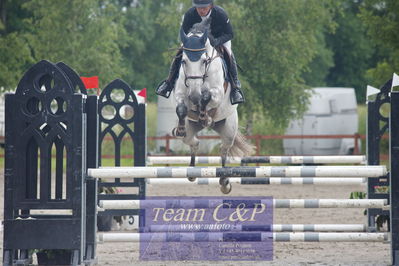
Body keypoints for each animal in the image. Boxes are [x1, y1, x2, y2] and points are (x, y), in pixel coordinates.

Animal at [171, 22, 253, 193]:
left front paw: (205, 117)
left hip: (228, 130)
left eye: (204, 61)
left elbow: (206, 97)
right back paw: (192, 171)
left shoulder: (218, 93)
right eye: (183, 61)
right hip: (191, 130)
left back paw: (224, 181)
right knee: (194, 142)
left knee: (223, 150)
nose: (194, 96)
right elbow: (181, 108)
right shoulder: (181, 94)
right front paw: (181, 127)